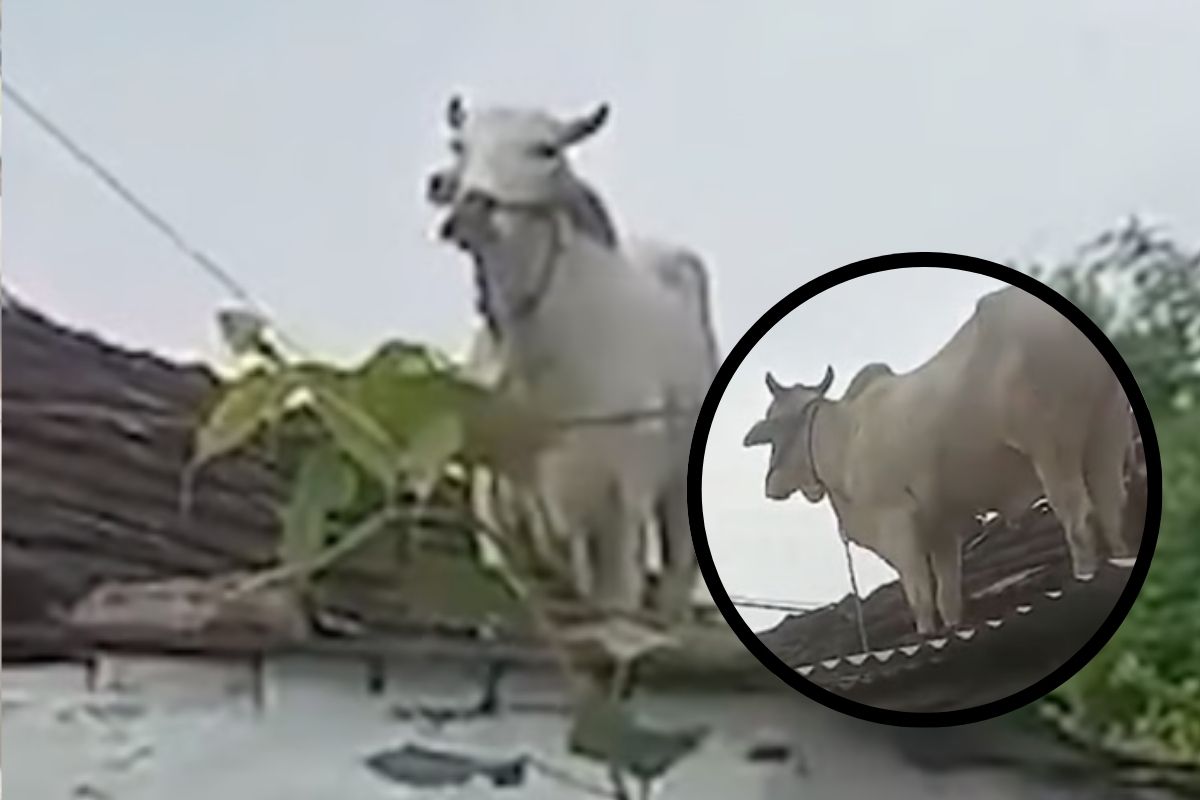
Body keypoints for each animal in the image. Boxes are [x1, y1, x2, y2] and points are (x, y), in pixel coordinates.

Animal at [742, 285, 1137, 634]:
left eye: (773, 423)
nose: (771, 484)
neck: (844, 437)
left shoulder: (897, 523)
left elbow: (919, 596)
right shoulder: (941, 530)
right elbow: (948, 598)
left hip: (1052, 446)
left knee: (1077, 516)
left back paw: (1085, 575)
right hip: (1107, 430)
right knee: (1111, 506)